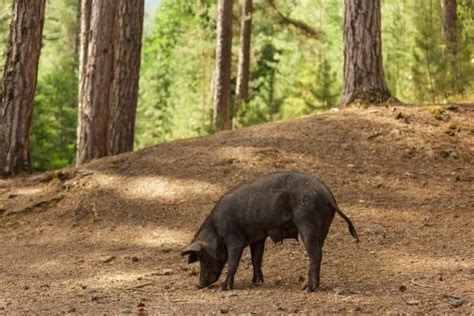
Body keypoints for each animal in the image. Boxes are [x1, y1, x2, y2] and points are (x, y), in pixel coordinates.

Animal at [182, 170, 360, 292]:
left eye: (202, 257)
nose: (198, 284)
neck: (217, 230)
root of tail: (328, 195)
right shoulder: (257, 237)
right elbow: (256, 258)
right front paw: (257, 282)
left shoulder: (235, 239)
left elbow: (233, 262)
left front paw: (224, 289)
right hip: (324, 226)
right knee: (318, 251)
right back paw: (308, 286)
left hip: (307, 222)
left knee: (316, 254)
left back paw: (308, 288)